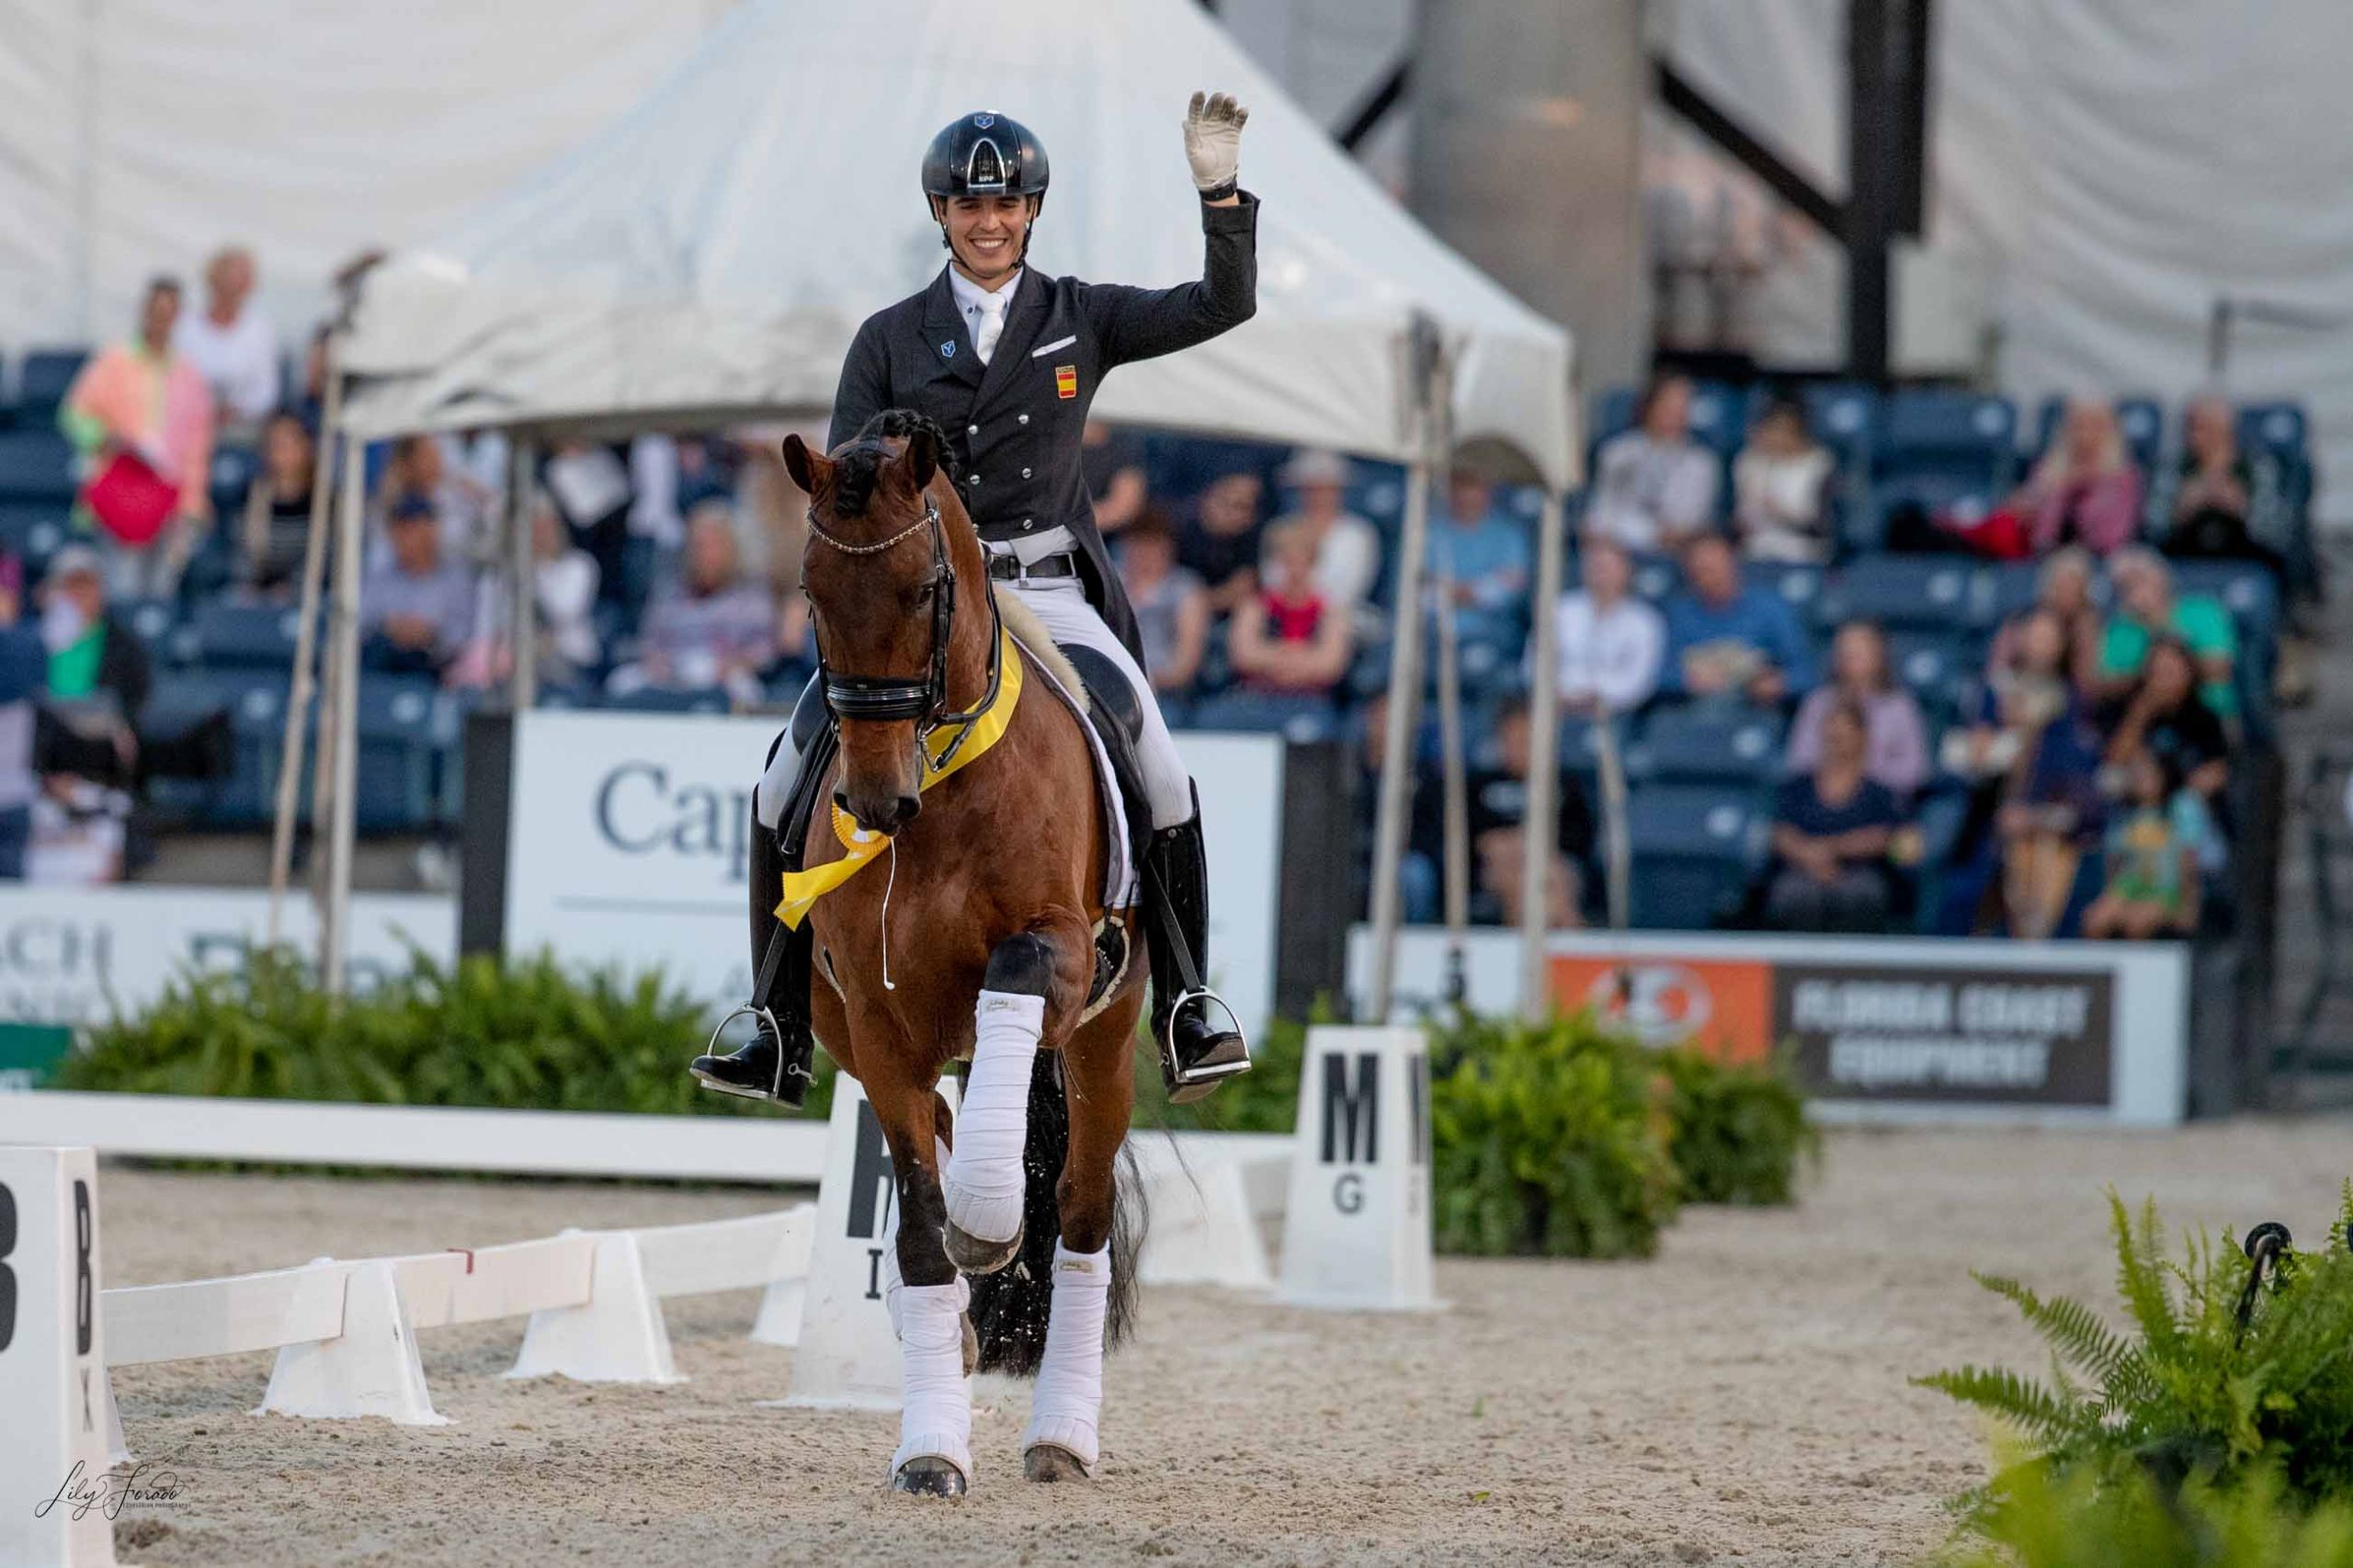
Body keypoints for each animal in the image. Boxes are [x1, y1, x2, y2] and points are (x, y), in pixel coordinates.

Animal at [780, 412, 1148, 1487]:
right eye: (813, 593)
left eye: (922, 590)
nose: (873, 802)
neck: (942, 795)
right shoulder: (876, 1019)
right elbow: (914, 1227)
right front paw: (930, 1447)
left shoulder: (1060, 956)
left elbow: (1016, 986)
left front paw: (988, 1217)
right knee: (947, 1134)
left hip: (1108, 1038)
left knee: (1079, 1215)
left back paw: (1063, 1434)